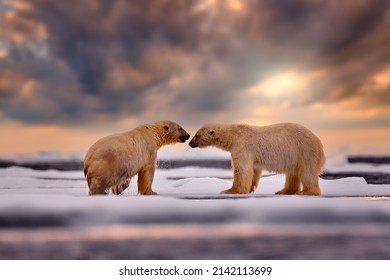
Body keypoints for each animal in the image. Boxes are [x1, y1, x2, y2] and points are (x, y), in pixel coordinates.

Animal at [189, 122, 326, 195]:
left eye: (197, 135)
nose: (190, 143)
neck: (233, 135)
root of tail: (319, 142)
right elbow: (253, 171)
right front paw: (249, 188)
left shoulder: (242, 147)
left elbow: (242, 170)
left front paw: (230, 190)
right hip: (296, 156)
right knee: (293, 174)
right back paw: (284, 191)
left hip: (305, 151)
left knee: (307, 173)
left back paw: (306, 191)